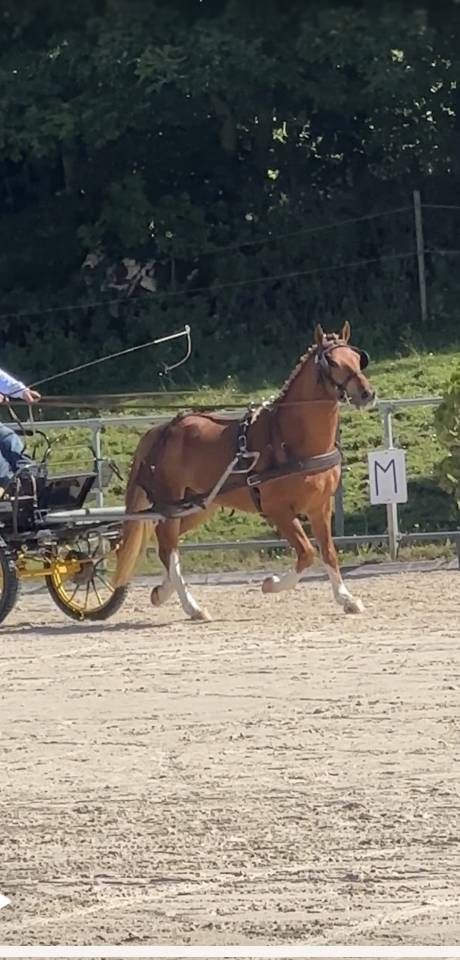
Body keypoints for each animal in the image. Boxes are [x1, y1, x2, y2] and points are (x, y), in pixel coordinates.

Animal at [113, 322, 375, 620]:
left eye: (357, 358)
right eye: (331, 362)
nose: (367, 394)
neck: (291, 439)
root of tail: (162, 430)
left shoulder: (320, 506)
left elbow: (328, 551)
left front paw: (346, 599)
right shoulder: (278, 511)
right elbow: (307, 553)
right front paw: (271, 584)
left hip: (198, 505)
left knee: (166, 544)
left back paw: (163, 591)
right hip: (171, 505)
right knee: (169, 547)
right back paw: (192, 606)